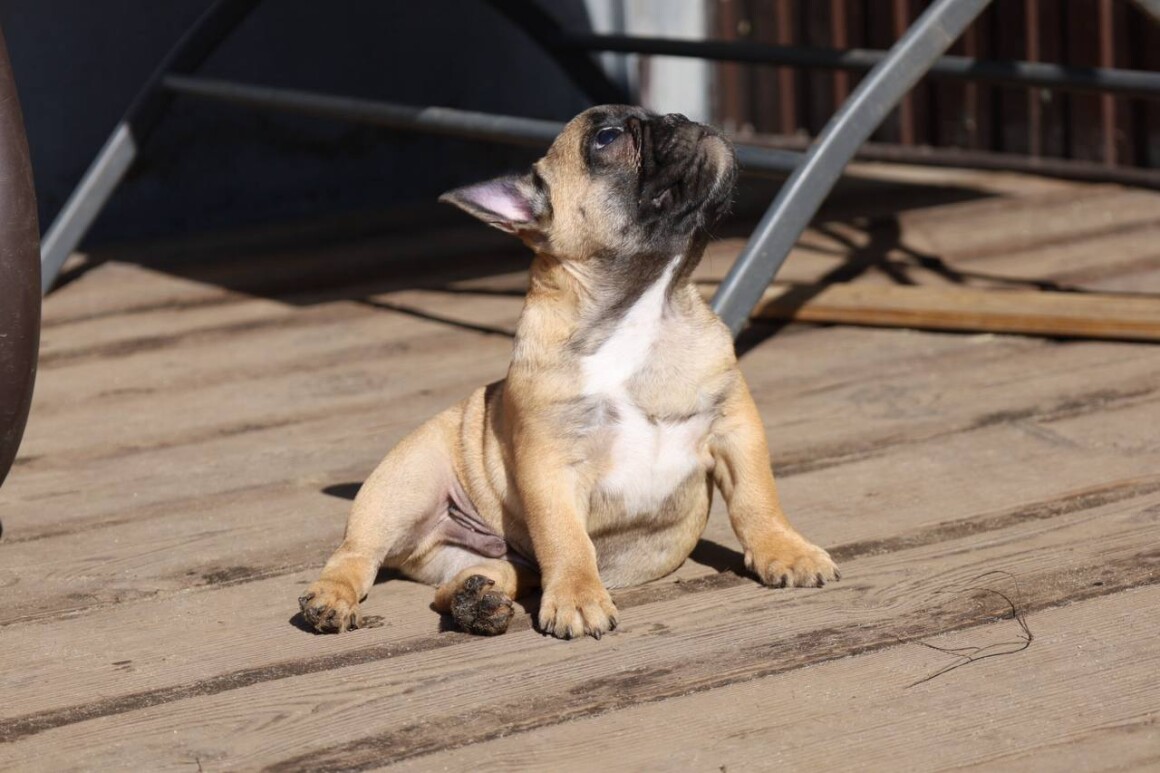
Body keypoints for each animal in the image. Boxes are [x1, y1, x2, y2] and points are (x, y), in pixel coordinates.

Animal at [299, 105, 838, 639]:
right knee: (356, 555)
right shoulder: (550, 466)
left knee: (473, 580)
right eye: (606, 137)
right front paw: (579, 597)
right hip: (404, 486)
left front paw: (786, 551)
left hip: (486, 556)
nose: (679, 116)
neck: (643, 308)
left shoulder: (735, 428)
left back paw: (478, 601)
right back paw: (333, 599)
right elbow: (566, 540)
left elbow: (756, 499)